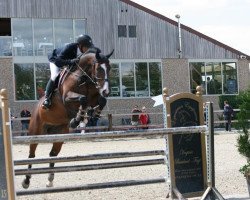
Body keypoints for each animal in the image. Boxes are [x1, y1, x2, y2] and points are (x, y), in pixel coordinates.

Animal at [22, 48, 114, 189]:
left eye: (109, 68)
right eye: (99, 68)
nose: (106, 91)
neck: (83, 77)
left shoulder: (93, 98)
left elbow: (100, 101)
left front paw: (92, 115)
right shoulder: (67, 97)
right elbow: (83, 99)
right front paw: (77, 119)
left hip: (60, 133)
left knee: (53, 154)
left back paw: (50, 180)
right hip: (35, 131)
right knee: (32, 155)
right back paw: (26, 181)